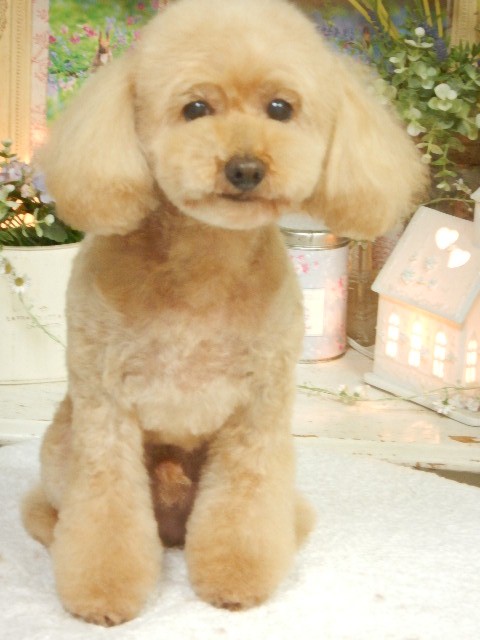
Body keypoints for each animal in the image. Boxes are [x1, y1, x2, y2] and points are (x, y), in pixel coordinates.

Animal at [22, 0, 427, 626]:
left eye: (280, 108)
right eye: (195, 108)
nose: (245, 168)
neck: (204, 262)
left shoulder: (257, 415)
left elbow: (243, 505)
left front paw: (236, 580)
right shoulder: (104, 411)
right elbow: (106, 511)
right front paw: (103, 594)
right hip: (61, 452)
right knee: (49, 510)